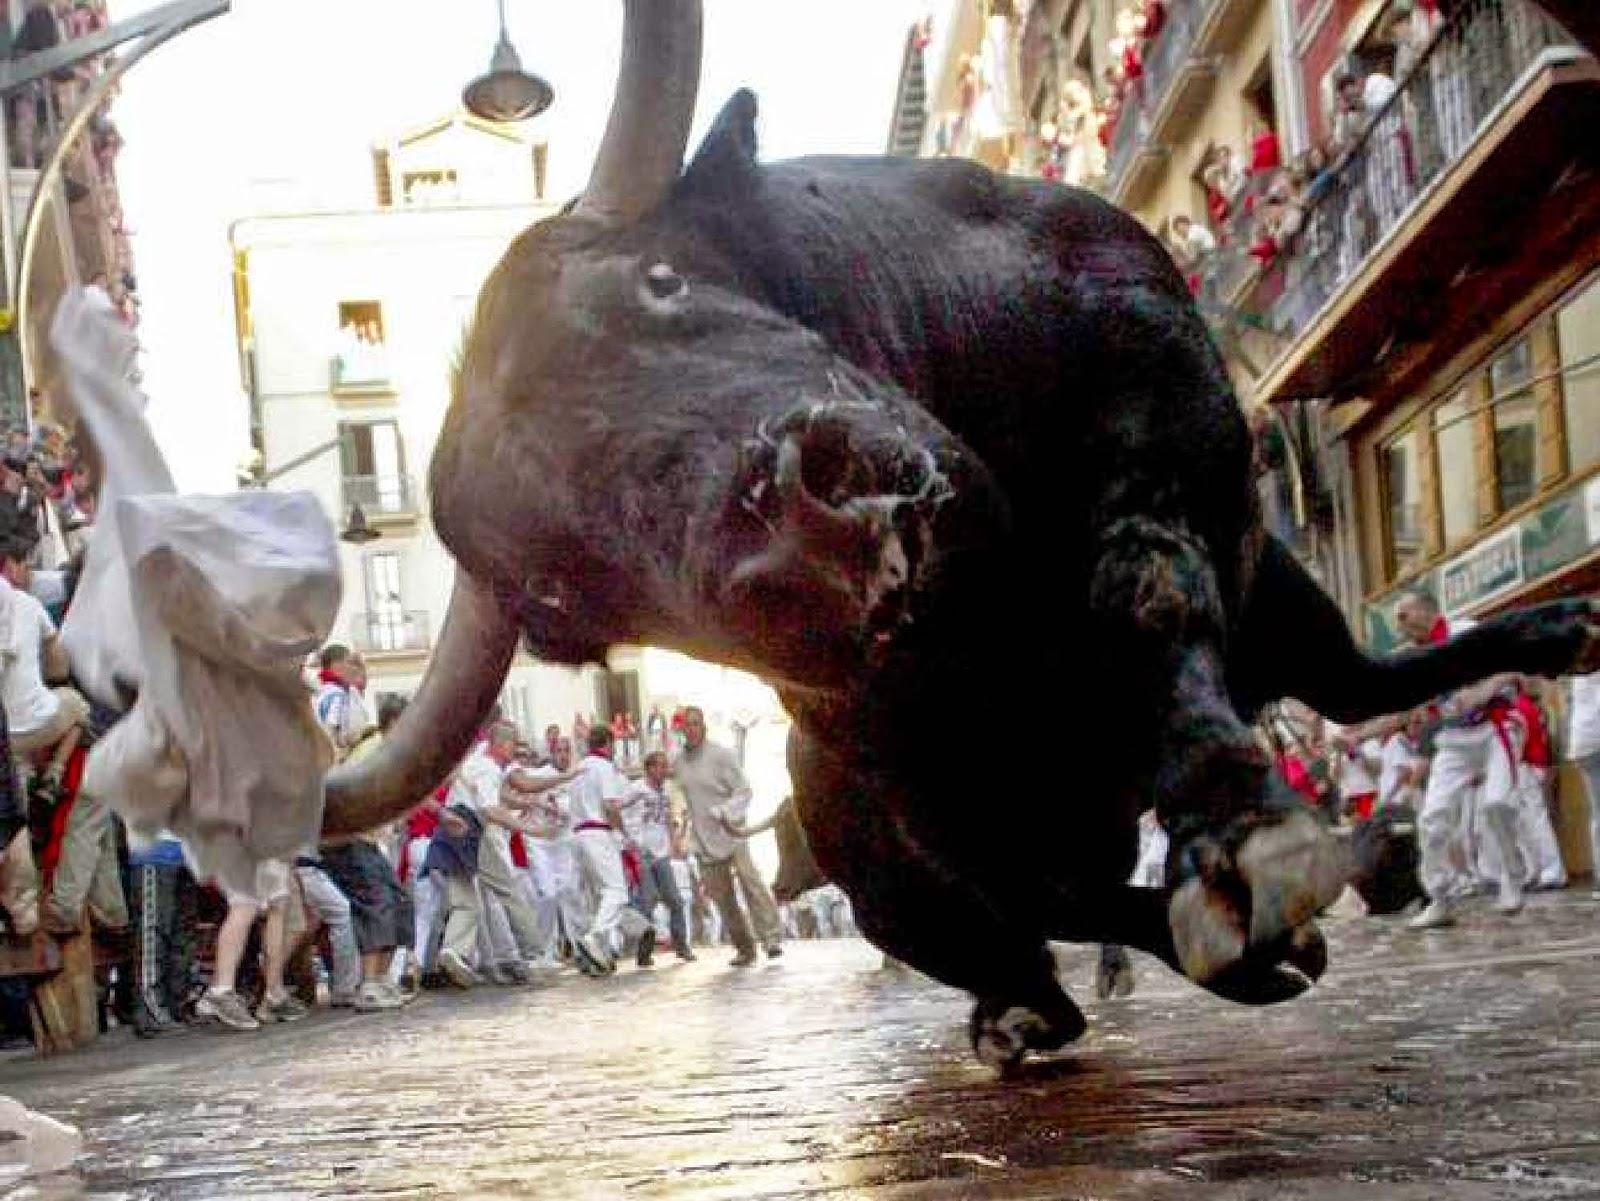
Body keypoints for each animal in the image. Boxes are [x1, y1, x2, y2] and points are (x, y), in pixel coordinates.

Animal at [316, 0, 1600, 1067]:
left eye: (661, 281)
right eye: (559, 600)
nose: (808, 535)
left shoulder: (1164, 416)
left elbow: (1146, 592)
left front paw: (1246, 837)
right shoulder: (882, 766)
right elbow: (1005, 883)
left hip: (1290, 607)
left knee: (1357, 681)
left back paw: (1541, 647)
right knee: (1045, 909)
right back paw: (1064, 997)